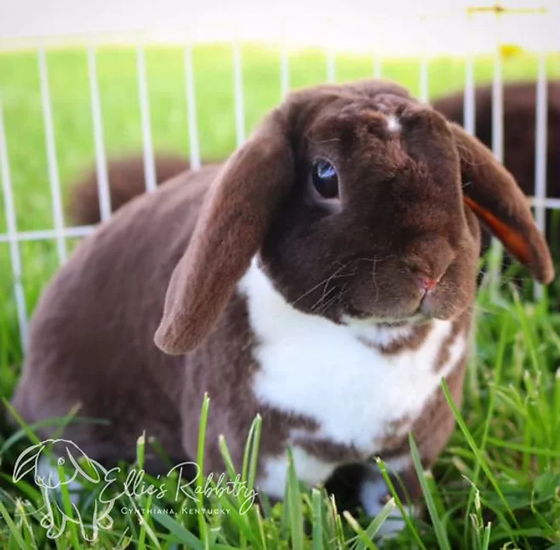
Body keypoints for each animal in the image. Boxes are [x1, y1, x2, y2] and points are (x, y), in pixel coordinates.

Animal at [10, 78, 552, 536]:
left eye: (460, 175)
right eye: (325, 176)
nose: (432, 265)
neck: (375, 339)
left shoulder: (407, 454)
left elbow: (396, 506)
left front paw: (399, 537)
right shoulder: (256, 457)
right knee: (56, 460)